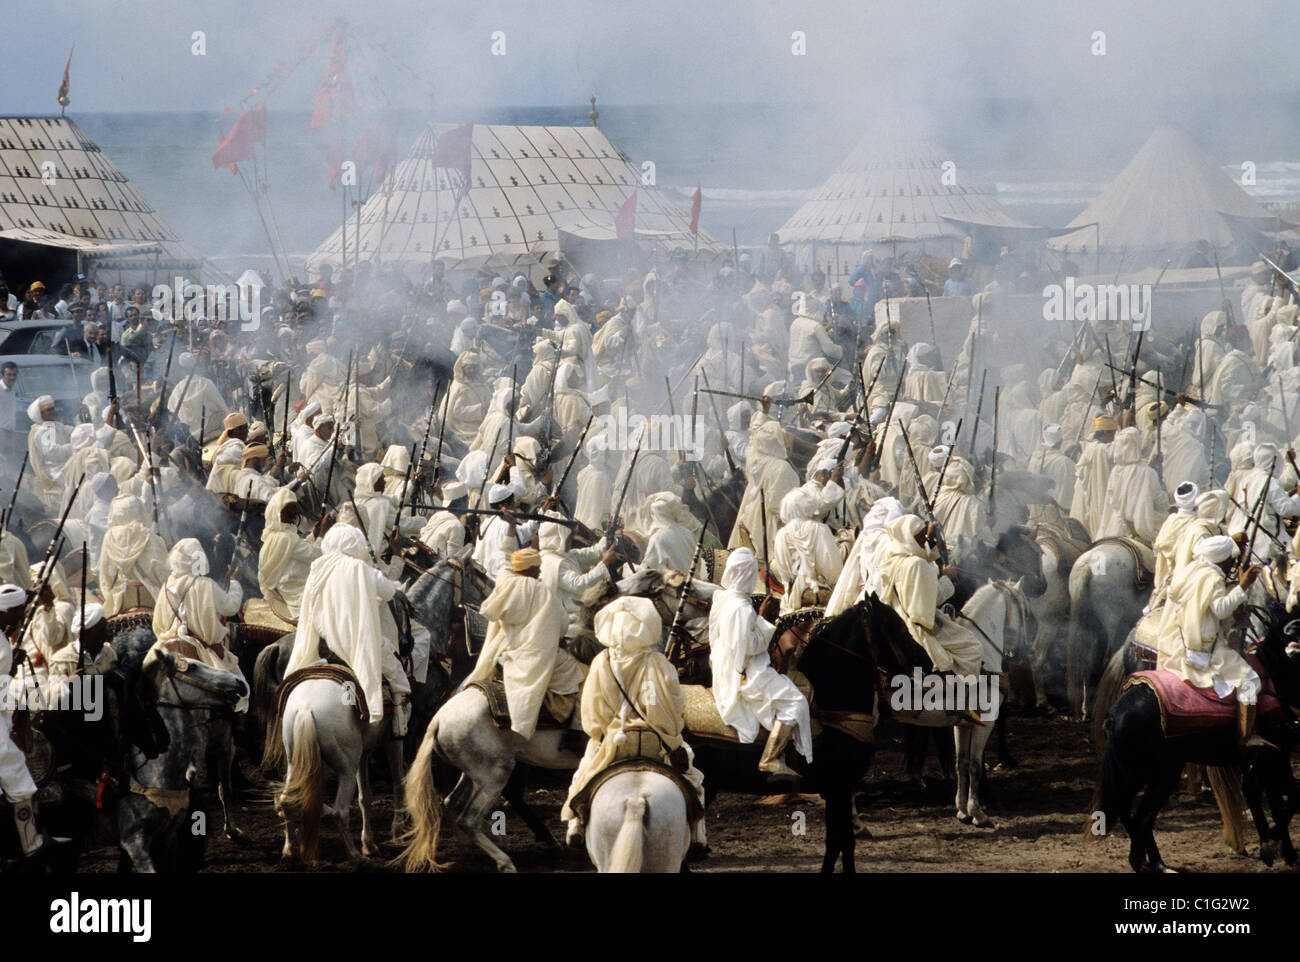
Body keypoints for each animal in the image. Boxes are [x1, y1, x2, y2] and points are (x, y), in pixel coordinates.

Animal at [263, 670, 400, 868]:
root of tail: (306, 708)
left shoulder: (363, 753)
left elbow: (365, 797)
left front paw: (369, 844)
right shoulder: (394, 740)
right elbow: (399, 783)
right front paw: (397, 832)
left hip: (293, 762)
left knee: (287, 800)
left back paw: (290, 850)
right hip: (345, 770)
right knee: (340, 812)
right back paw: (355, 855)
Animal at [395, 686, 579, 873]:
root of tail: (438, 720)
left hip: (474, 774)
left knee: (453, 801)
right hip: (496, 774)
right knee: (469, 819)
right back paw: (506, 861)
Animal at [1097, 608, 1300, 873]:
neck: (1277, 675)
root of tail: (1115, 713)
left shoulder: (1269, 757)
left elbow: (1270, 797)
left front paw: (1282, 851)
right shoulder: (1275, 753)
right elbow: (1288, 798)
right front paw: (1272, 846)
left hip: (1134, 772)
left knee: (1125, 809)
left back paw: (1143, 860)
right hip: (1163, 773)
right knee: (1143, 817)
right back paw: (1157, 865)